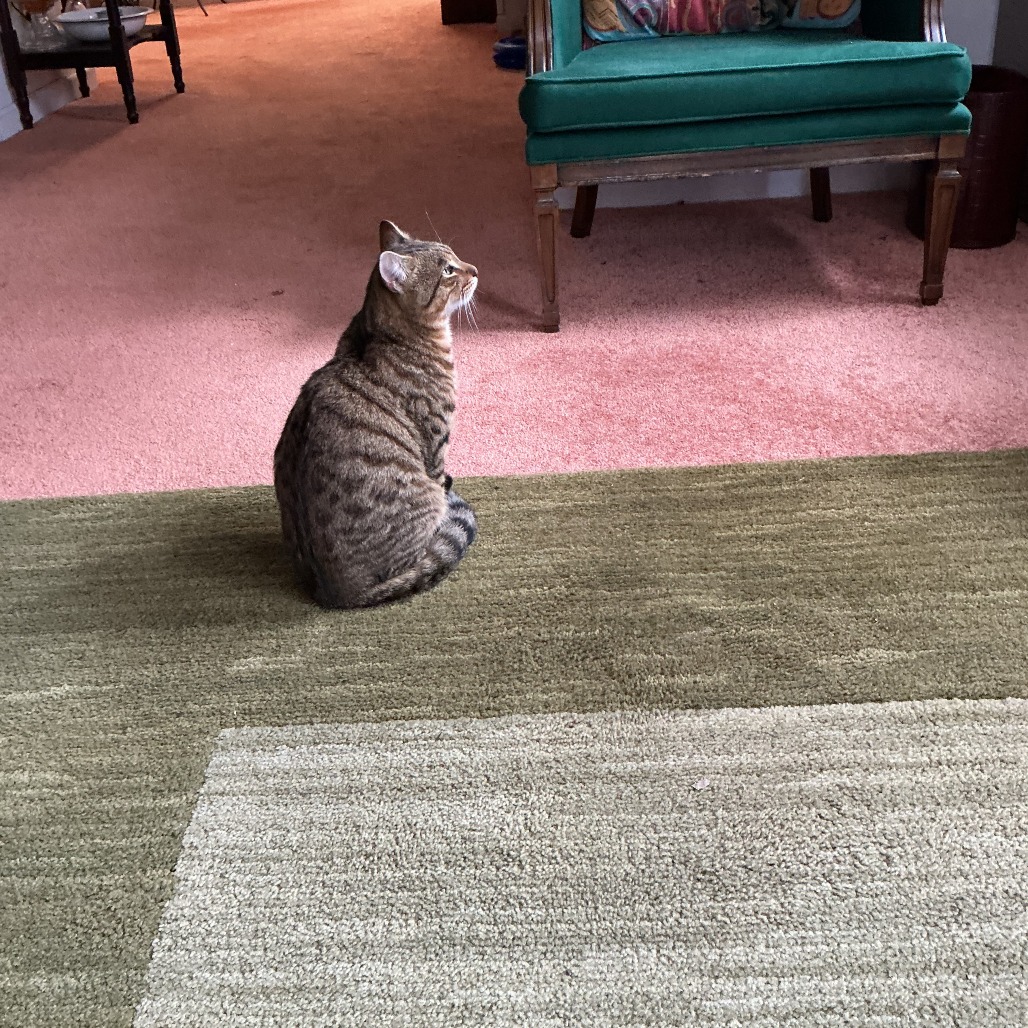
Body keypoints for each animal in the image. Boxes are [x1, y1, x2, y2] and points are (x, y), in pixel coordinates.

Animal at [273, 221, 479, 609]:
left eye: (457, 256)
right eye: (448, 270)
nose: (475, 269)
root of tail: (339, 594)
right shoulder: (437, 443)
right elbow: (442, 476)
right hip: (425, 495)